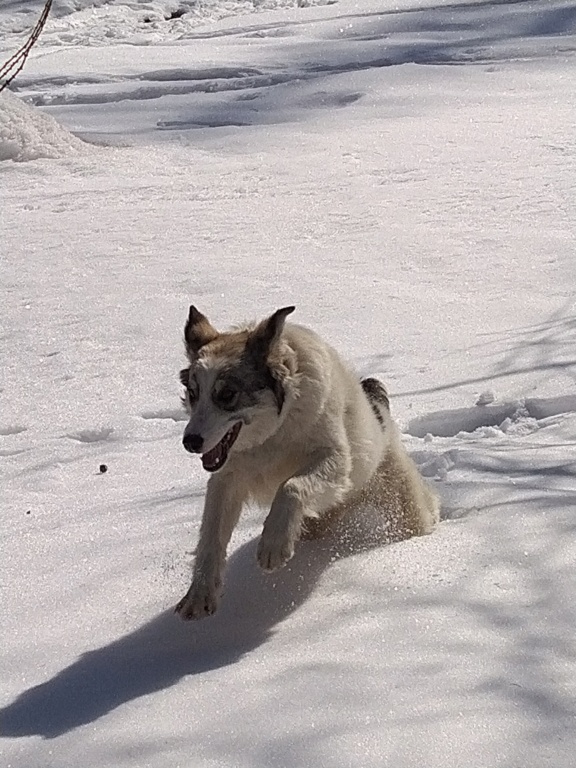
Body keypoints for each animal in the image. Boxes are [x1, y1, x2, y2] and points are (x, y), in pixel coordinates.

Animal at [173, 304, 438, 616]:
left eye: (227, 394)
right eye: (193, 394)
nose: (190, 442)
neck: (270, 436)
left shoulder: (334, 462)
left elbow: (291, 487)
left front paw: (274, 545)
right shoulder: (226, 480)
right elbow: (211, 537)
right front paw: (200, 593)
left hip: (401, 495)